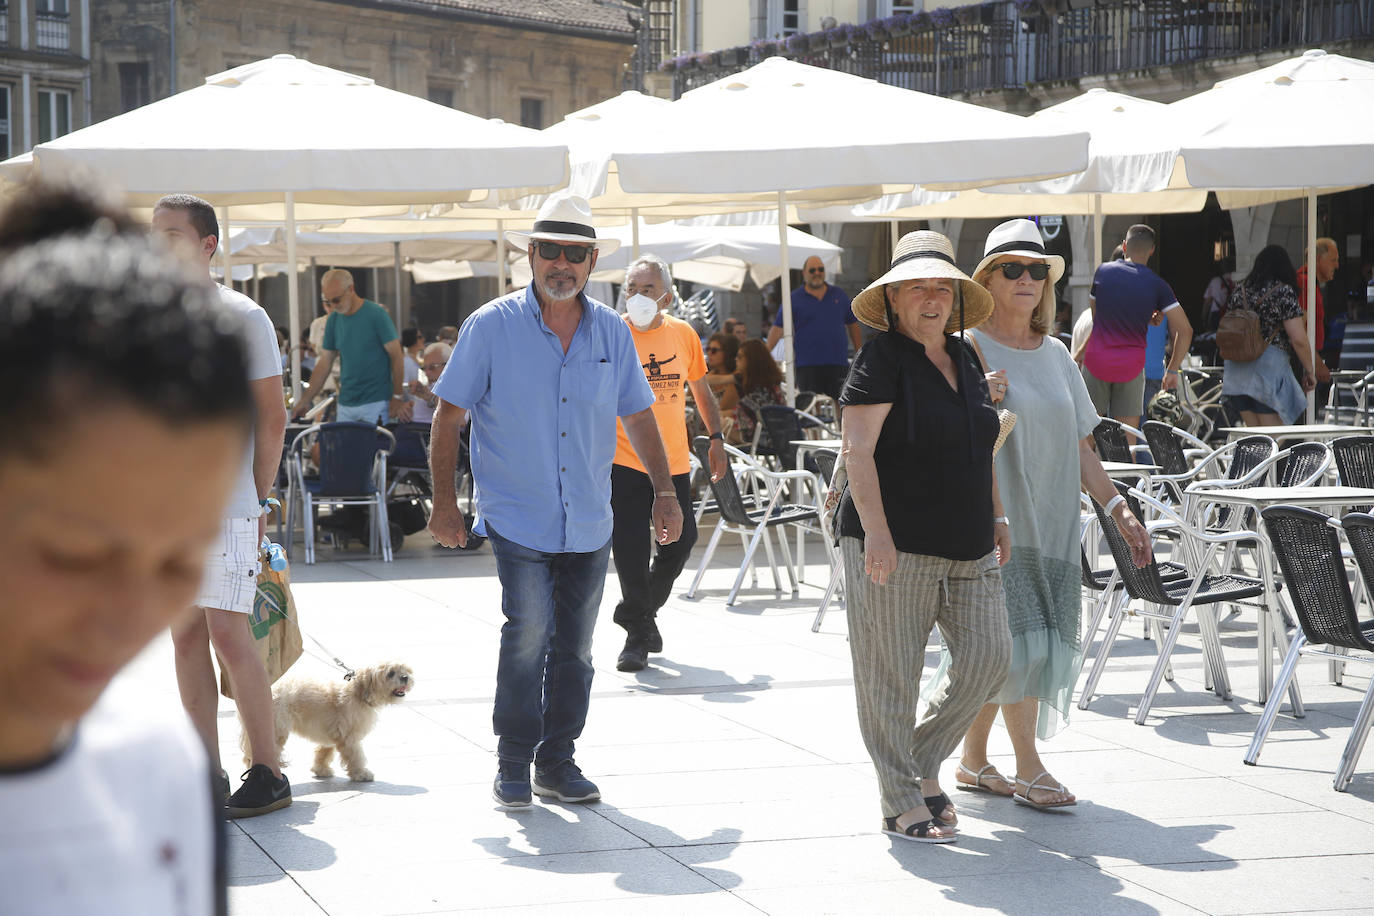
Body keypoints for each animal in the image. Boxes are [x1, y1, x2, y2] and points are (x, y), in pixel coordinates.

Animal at [244, 661, 412, 785]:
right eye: (390, 673)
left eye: (405, 669)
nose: (405, 677)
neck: (358, 693)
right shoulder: (349, 738)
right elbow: (356, 756)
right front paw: (361, 774)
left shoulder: (332, 733)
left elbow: (324, 752)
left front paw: (321, 769)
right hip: (275, 730)